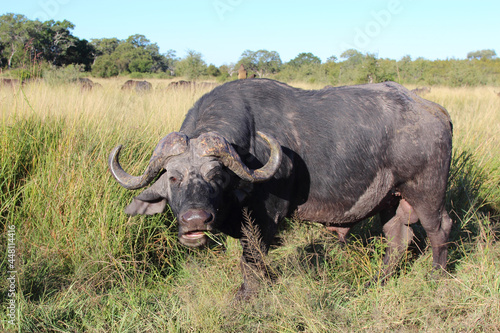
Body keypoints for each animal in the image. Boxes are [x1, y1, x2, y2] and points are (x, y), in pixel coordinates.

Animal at [109, 79, 454, 296]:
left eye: (217, 175)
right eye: (172, 177)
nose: (195, 220)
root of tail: (436, 111)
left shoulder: (265, 220)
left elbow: (250, 260)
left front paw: (247, 295)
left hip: (427, 193)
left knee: (439, 229)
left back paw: (437, 276)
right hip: (392, 200)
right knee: (398, 238)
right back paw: (378, 281)